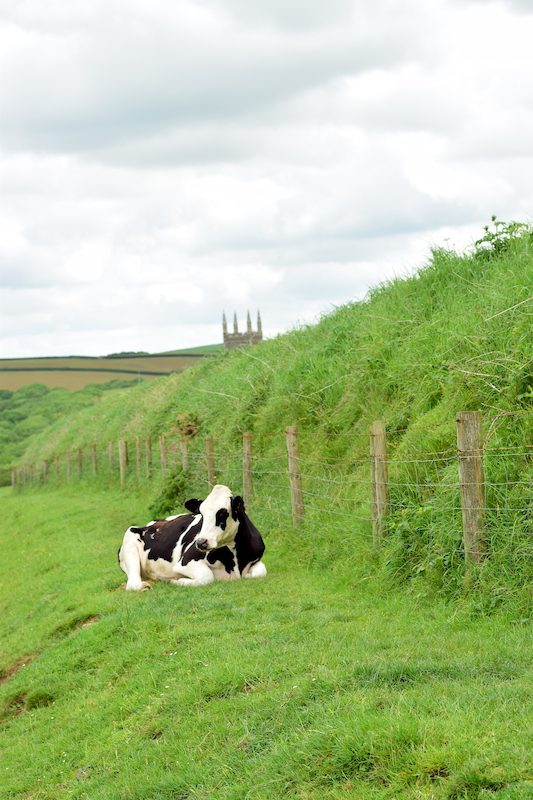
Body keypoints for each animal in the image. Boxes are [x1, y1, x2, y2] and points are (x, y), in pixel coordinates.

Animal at [117, 484, 264, 592]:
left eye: (222, 513)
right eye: (202, 514)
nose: (201, 542)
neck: (235, 561)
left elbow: (261, 572)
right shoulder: (185, 561)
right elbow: (207, 577)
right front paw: (177, 581)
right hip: (130, 544)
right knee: (133, 584)